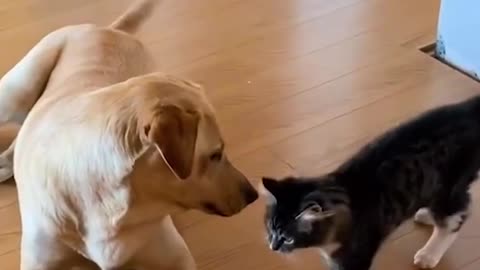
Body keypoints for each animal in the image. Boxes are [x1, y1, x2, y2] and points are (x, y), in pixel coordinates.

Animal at [0, 1, 258, 268]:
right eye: (215, 154)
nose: (253, 194)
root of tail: (111, 29)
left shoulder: (176, 256)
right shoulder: (39, 259)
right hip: (16, 90)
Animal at [262, 96, 480, 268]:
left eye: (288, 239)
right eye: (270, 229)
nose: (273, 247)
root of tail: (469, 108)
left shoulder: (355, 255)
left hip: (450, 187)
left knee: (454, 220)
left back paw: (429, 255)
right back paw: (426, 215)